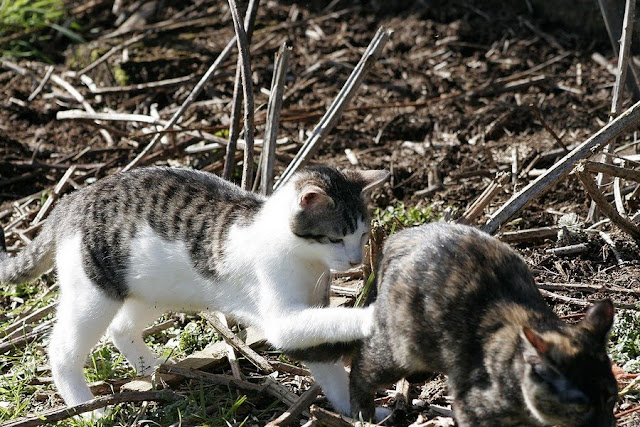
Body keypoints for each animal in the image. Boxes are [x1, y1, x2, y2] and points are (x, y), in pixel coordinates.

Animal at [0, 166, 390, 416]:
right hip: (94, 292)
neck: (302, 257)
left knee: (121, 329)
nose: (355, 259)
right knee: (62, 349)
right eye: (335, 238)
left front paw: (356, 412)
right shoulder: (285, 321)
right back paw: (85, 407)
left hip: (155, 287)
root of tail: (72, 198)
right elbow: (332, 320)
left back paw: (156, 370)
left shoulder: (310, 316)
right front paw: (375, 315)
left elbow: (329, 366)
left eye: (362, 236)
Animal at [348, 222, 616, 426]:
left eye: (610, 397)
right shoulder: (473, 408)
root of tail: (398, 238)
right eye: (581, 407)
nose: (606, 424)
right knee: (362, 367)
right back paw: (362, 413)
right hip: (399, 351)